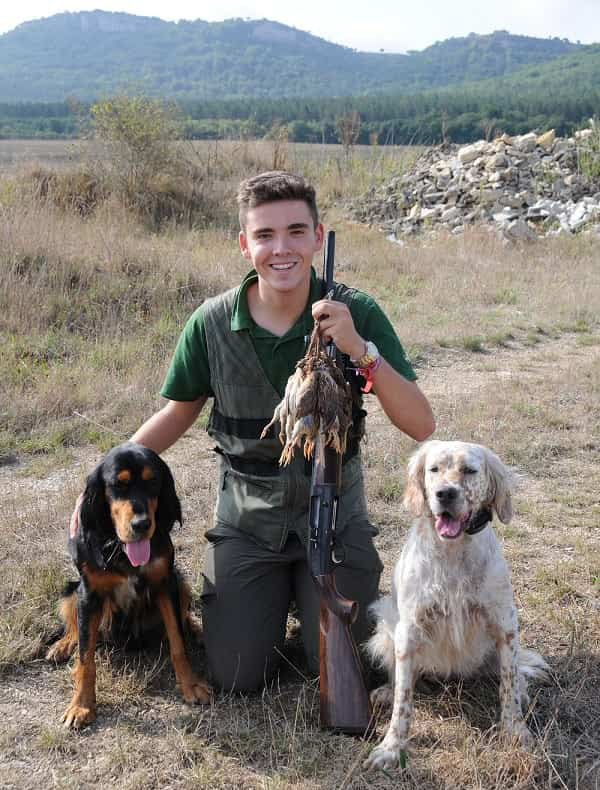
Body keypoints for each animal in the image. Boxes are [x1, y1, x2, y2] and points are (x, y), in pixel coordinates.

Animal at [47, 442, 211, 728]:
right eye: (118, 484)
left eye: (153, 481)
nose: (142, 524)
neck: (123, 551)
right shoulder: (88, 594)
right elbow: (86, 657)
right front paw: (81, 705)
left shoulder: (166, 583)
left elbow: (177, 642)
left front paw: (190, 685)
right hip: (72, 591)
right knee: (77, 629)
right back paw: (63, 645)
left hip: (180, 582)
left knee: (184, 617)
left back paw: (198, 631)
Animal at [366, 446, 548, 772]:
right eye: (434, 469)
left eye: (469, 471)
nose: (445, 494)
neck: (452, 550)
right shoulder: (409, 631)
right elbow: (403, 699)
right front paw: (391, 748)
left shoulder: (505, 625)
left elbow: (508, 686)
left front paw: (515, 732)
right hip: (386, 624)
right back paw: (386, 690)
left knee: (513, 676)